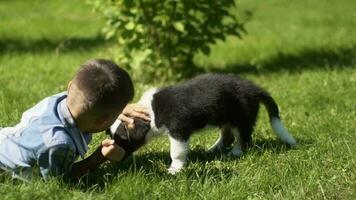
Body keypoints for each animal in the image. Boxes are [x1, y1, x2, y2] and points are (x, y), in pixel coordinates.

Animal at [108, 73, 298, 173]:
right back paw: (214, 150)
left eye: (121, 139)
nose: (115, 160)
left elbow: (176, 152)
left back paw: (235, 152)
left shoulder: (178, 130)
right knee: (227, 136)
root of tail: (254, 89)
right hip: (224, 117)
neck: (151, 111)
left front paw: (174, 170)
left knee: (243, 137)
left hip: (240, 117)